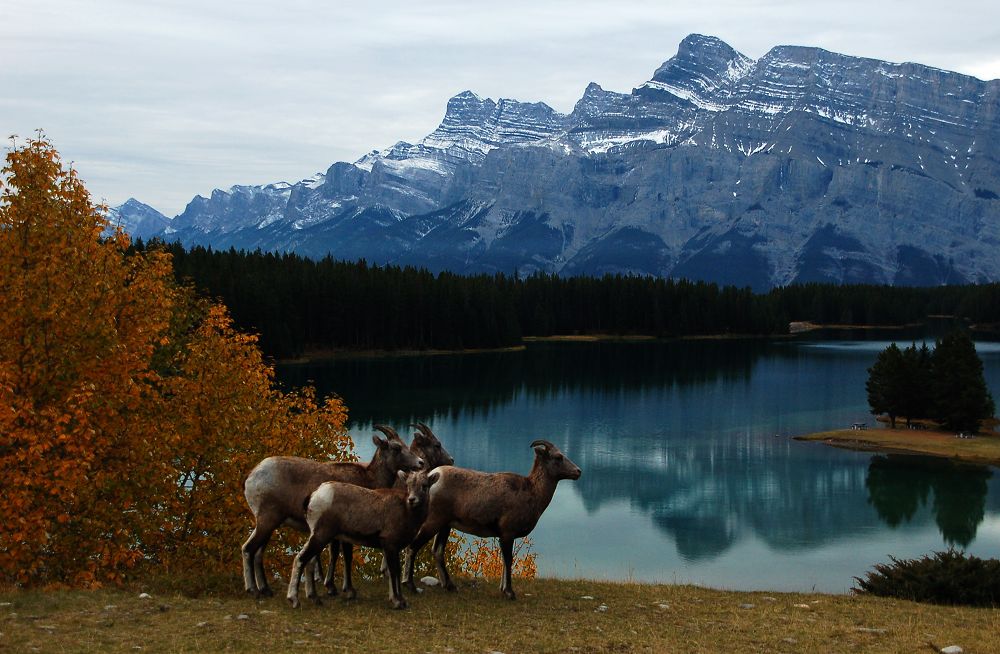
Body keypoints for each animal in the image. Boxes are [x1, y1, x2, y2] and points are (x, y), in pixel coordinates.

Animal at [241, 426, 422, 600]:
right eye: (396, 448)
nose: (420, 462)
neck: (369, 479)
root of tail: (251, 476)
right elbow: (346, 556)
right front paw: (346, 590)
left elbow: (333, 554)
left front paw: (331, 587)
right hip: (268, 520)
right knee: (249, 549)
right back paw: (253, 590)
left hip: (269, 524)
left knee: (258, 553)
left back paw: (266, 590)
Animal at [284, 468, 436, 612]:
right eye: (408, 485)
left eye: (424, 486)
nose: (412, 499)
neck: (407, 512)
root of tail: (314, 496)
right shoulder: (390, 545)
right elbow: (394, 571)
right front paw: (398, 602)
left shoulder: (393, 548)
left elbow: (395, 571)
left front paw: (399, 600)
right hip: (321, 535)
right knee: (300, 559)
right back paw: (294, 600)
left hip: (318, 537)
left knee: (309, 562)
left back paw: (315, 598)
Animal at [402, 444, 584, 604]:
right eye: (558, 457)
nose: (578, 472)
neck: (532, 493)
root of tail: (432, 478)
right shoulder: (507, 535)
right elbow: (508, 561)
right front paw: (509, 593)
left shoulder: (505, 536)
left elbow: (504, 561)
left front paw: (503, 590)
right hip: (433, 523)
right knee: (413, 547)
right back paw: (410, 586)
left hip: (445, 526)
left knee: (437, 551)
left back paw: (450, 586)